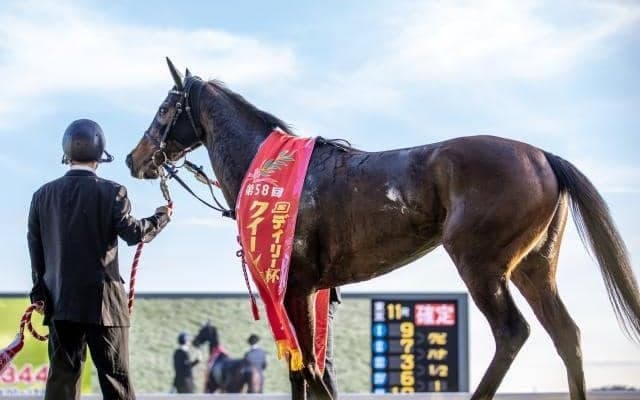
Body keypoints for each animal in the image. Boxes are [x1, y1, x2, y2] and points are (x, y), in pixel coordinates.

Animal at [126, 59, 640, 400]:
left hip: (481, 266)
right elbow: (307, 370)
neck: (275, 170)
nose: (135, 158)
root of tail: (541, 155)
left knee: (512, 333)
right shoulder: (310, 292)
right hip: (534, 268)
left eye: (164, 108)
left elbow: (310, 372)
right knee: (567, 336)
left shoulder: (295, 286)